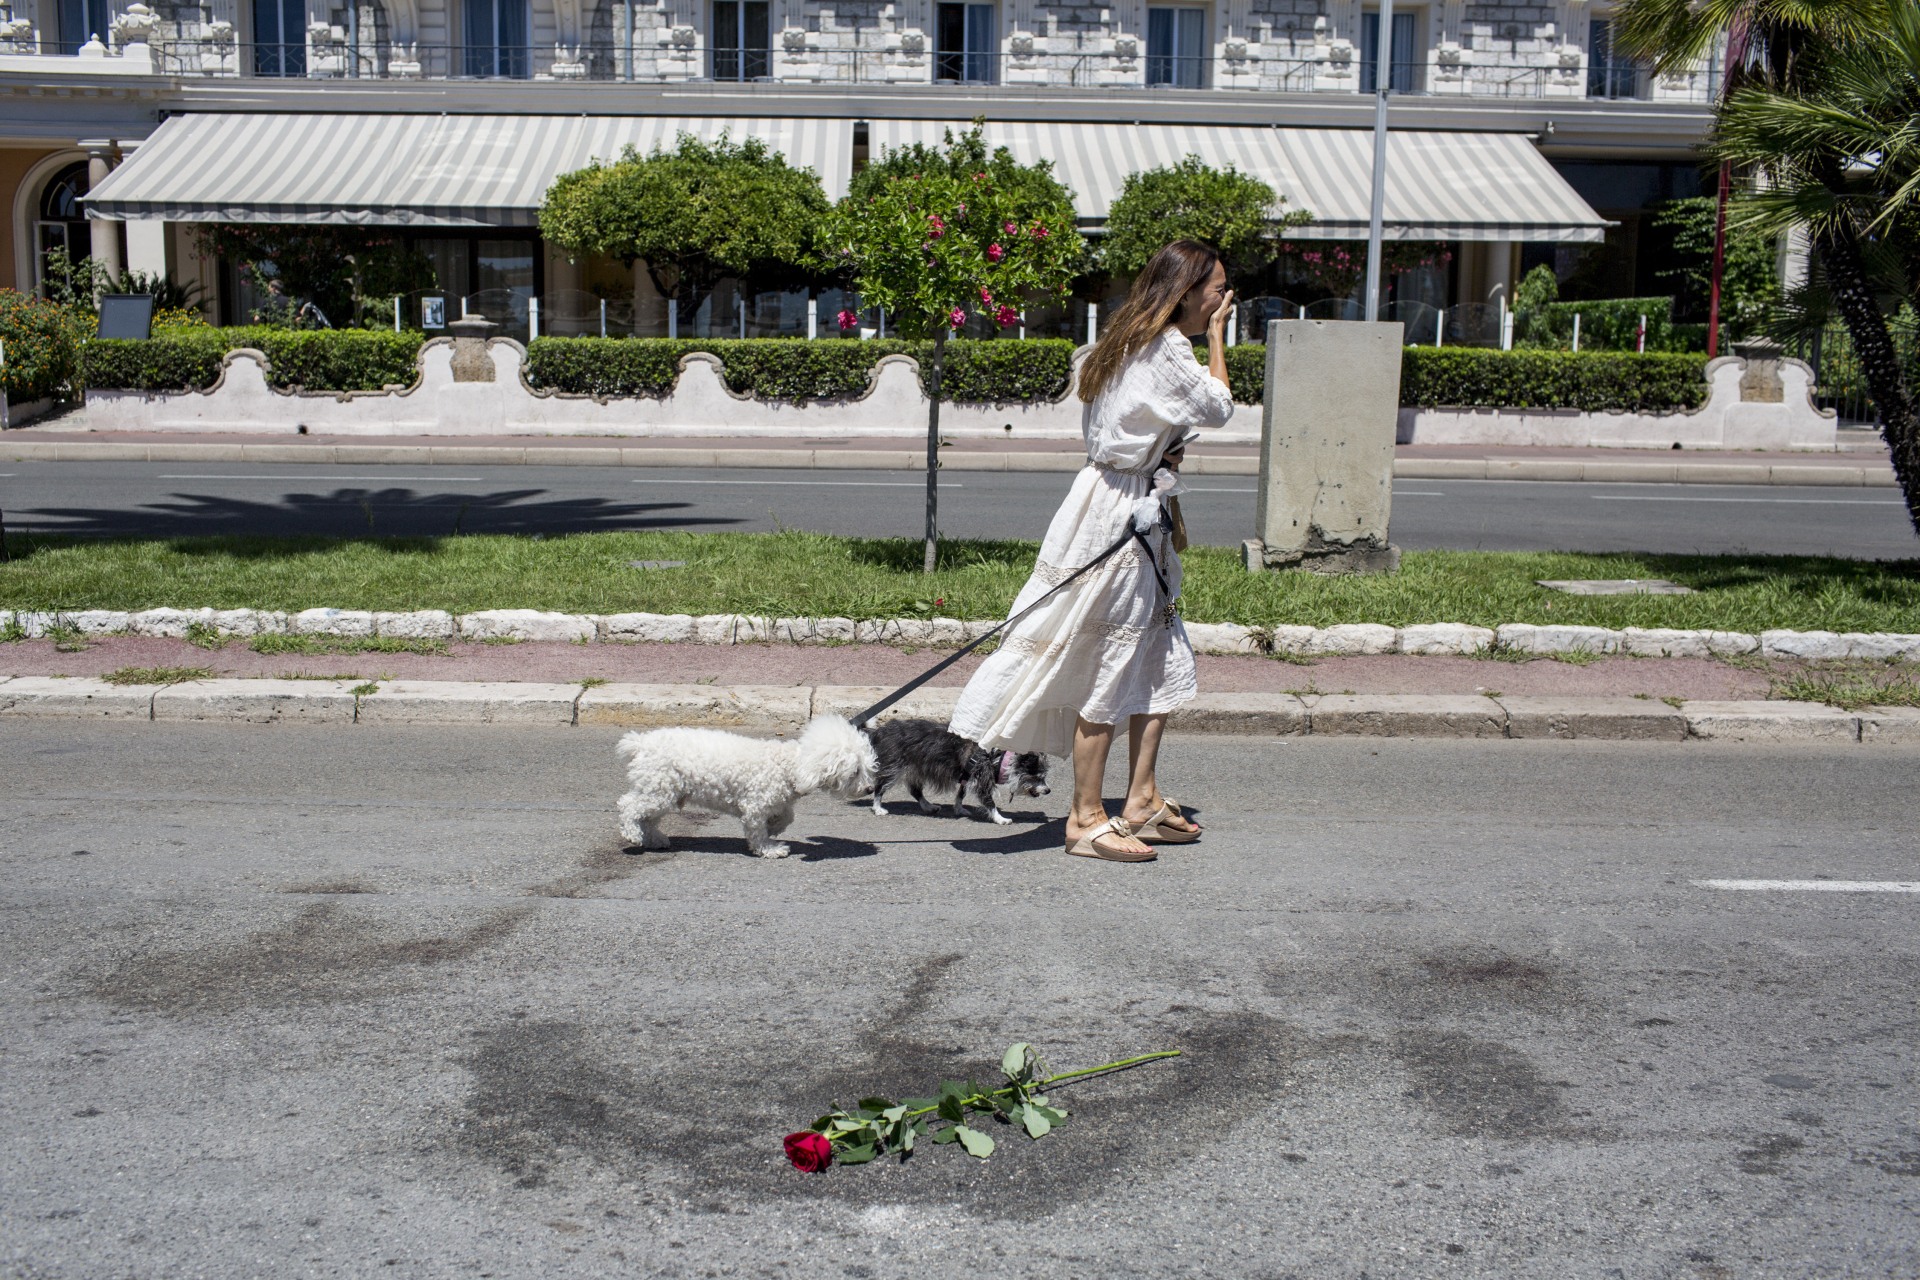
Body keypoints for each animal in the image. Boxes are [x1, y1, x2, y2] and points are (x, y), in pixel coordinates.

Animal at [614, 717, 879, 855]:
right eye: (855, 771)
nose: (869, 789)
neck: (788, 765)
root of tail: (640, 743)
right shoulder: (755, 805)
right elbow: (756, 832)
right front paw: (770, 848)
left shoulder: (776, 801)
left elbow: (787, 817)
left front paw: (774, 828)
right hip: (657, 790)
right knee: (628, 807)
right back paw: (632, 834)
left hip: (663, 792)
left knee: (647, 819)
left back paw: (653, 839)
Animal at [867, 717, 1052, 825]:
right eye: (1037, 776)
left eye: (1043, 776)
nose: (1048, 790)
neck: (998, 758)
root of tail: (879, 731)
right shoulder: (982, 779)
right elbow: (990, 803)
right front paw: (1000, 818)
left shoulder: (968, 776)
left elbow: (961, 794)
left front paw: (959, 809)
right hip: (893, 767)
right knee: (880, 787)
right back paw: (878, 808)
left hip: (915, 769)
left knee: (915, 791)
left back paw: (928, 806)